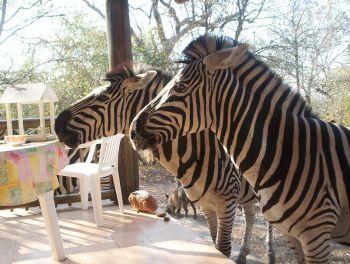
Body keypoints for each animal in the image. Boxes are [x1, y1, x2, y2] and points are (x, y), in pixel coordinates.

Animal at [54, 63, 274, 262]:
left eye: (103, 97)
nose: (56, 124)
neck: (201, 150)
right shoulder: (206, 204)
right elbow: (214, 243)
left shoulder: (226, 203)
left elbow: (223, 248)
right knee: (250, 213)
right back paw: (244, 253)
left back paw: (269, 252)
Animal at [130, 34, 350, 262]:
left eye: (181, 86)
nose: (133, 130)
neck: (293, 154)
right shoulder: (292, 235)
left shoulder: (316, 236)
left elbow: (222, 246)